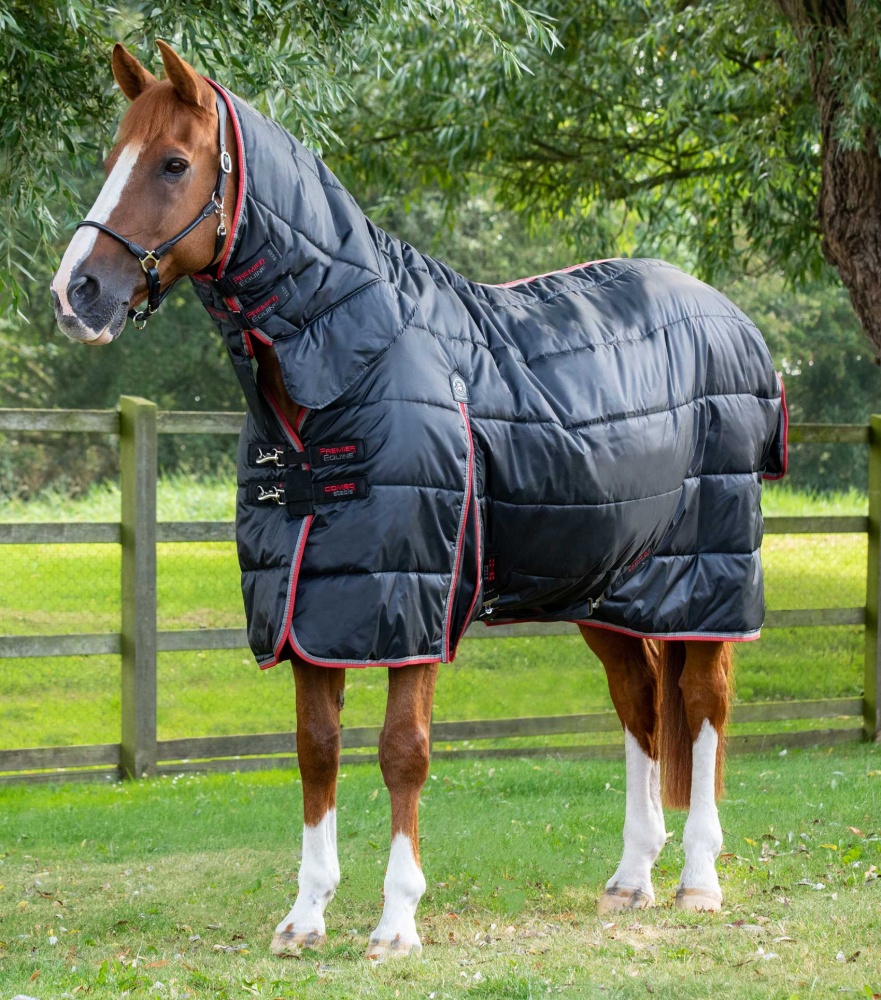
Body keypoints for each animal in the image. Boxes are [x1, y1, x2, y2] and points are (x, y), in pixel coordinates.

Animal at [50, 41, 787, 961]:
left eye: (174, 163)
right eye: (111, 158)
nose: (75, 293)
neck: (353, 358)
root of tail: (732, 320)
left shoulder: (412, 602)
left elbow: (403, 751)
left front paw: (396, 921)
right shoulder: (310, 607)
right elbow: (316, 750)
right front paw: (305, 916)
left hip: (709, 582)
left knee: (702, 708)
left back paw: (697, 879)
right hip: (608, 588)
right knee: (640, 707)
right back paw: (630, 878)